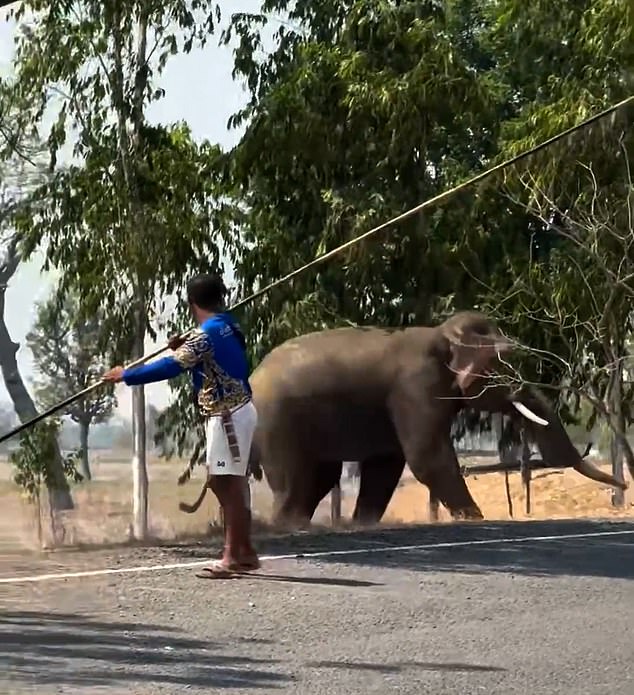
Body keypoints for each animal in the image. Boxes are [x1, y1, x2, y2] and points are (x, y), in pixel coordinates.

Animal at [247, 311, 627, 527]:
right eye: (505, 363)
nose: (622, 487)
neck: (440, 334)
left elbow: (387, 464)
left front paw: (363, 524)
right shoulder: (416, 387)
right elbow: (426, 458)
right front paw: (475, 518)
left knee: (320, 477)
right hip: (277, 423)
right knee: (296, 481)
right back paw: (285, 525)